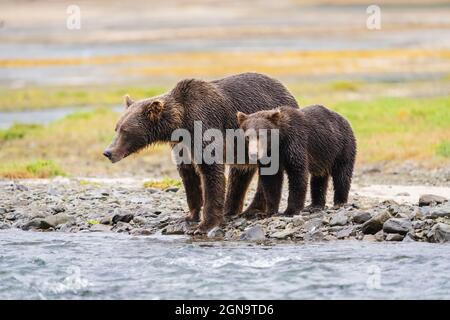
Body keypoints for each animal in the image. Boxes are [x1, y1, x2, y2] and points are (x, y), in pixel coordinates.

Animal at [103, 72, 298, 232]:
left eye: (125, 131)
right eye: (116, 128)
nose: (108, 152)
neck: (180, 123)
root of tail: (289, 93)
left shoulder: (205, 125)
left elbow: (211, 173)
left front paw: (205, 225)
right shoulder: (181, 145)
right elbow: (189, 176)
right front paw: (189, 216)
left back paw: (252, 210)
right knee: (240, 173)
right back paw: (231, 209)